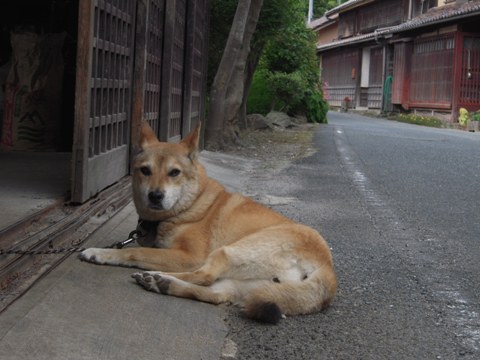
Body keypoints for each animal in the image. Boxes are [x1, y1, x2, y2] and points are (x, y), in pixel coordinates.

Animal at [79, 122, 338, 324]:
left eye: (174, 172)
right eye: (145, 170)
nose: (155, 196)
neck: (191, 204)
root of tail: (327, 267)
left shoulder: (189, 255)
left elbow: (134, 252)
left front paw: (99, 252)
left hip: (228, 251)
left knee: (203, 276)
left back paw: (157, 274)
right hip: (244, 284)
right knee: (214, 294)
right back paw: (162, 284)